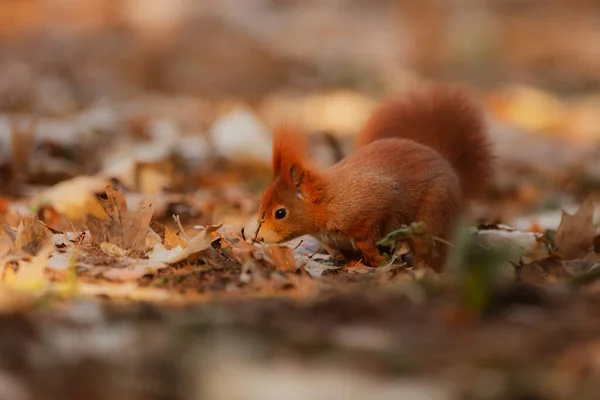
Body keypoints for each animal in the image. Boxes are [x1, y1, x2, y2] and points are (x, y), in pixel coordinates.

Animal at [253, 84, 492, 272]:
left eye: (280, 213)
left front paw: (376, 259)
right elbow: (346, 253)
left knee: (432, 251)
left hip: (432, 215)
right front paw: (350, 264)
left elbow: (368, 237)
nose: (259, 239)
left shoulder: (374, 204)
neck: (329, 202)